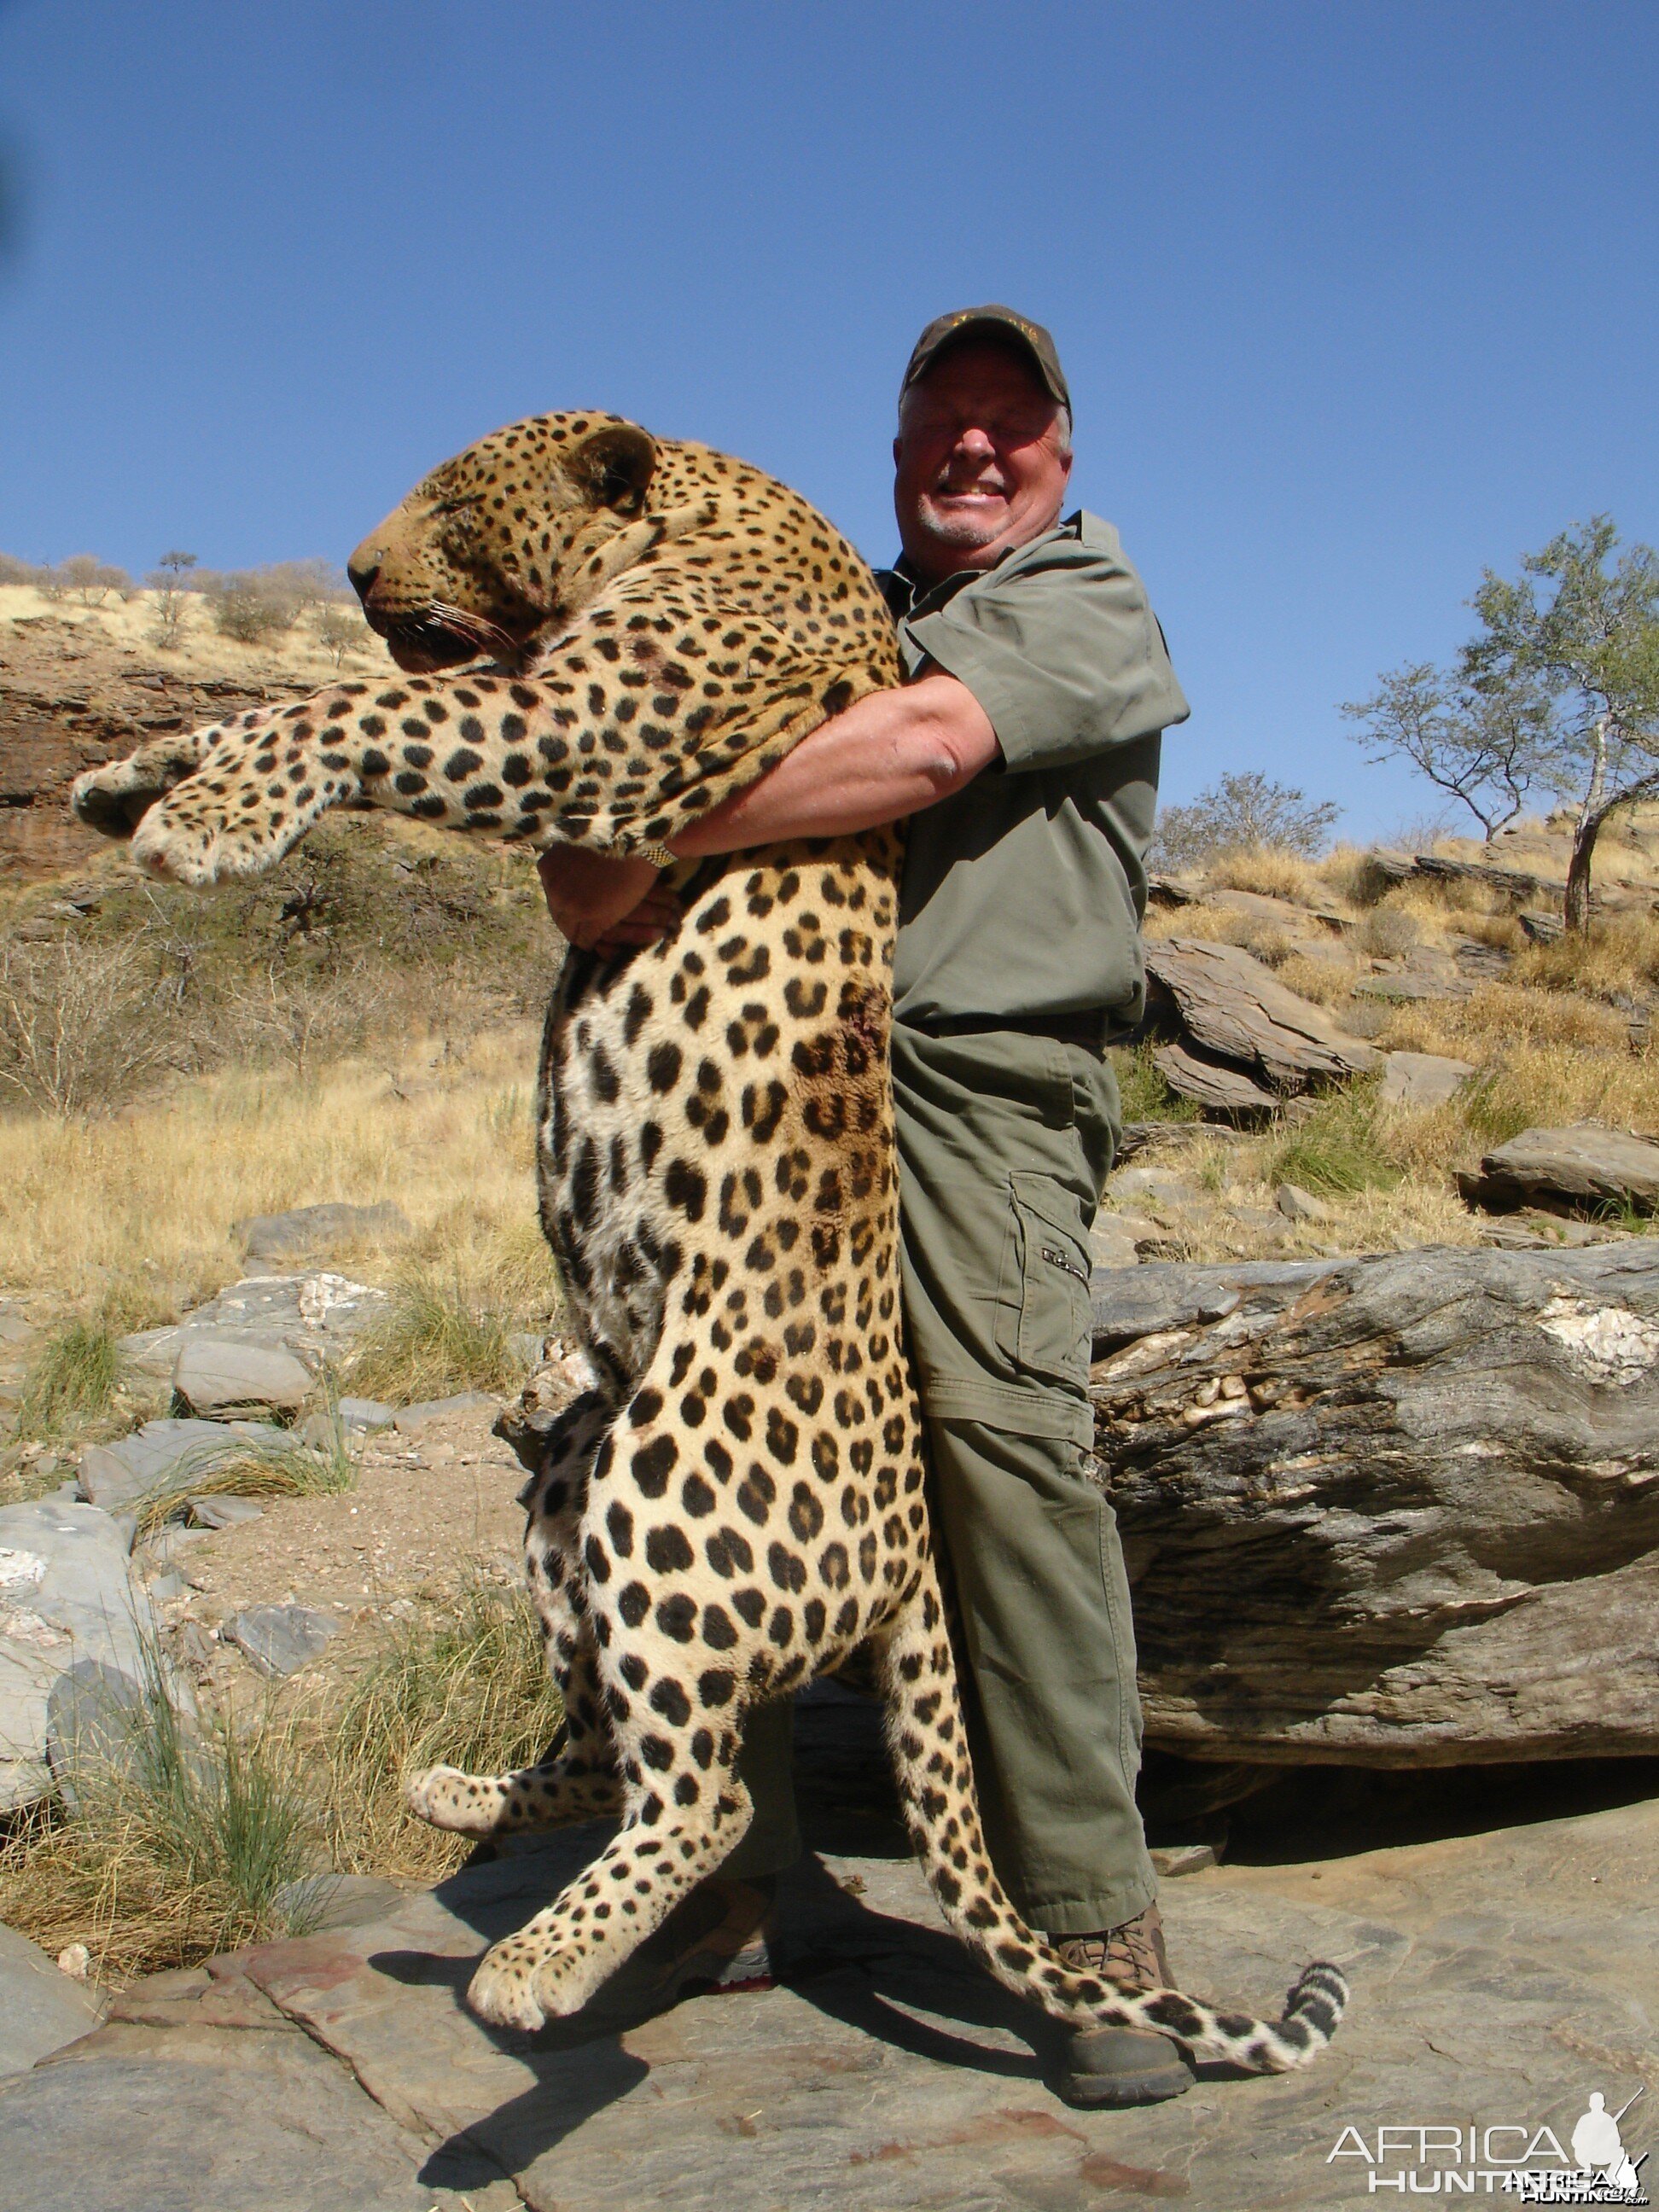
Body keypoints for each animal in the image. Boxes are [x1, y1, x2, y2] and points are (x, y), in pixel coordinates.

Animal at [78, 406, 1353, 2061]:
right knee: (618, 1747)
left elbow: (357, 703)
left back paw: (535, 1967)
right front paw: (131, 773)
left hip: (660, 1475)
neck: (692, 509)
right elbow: (290, 693)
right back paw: (464, 1797)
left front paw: (210, 818)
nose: (355, 570)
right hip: (570, 1464)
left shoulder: (578, 723)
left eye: (451, 501)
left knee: (708, 1794)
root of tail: (911, 1553)